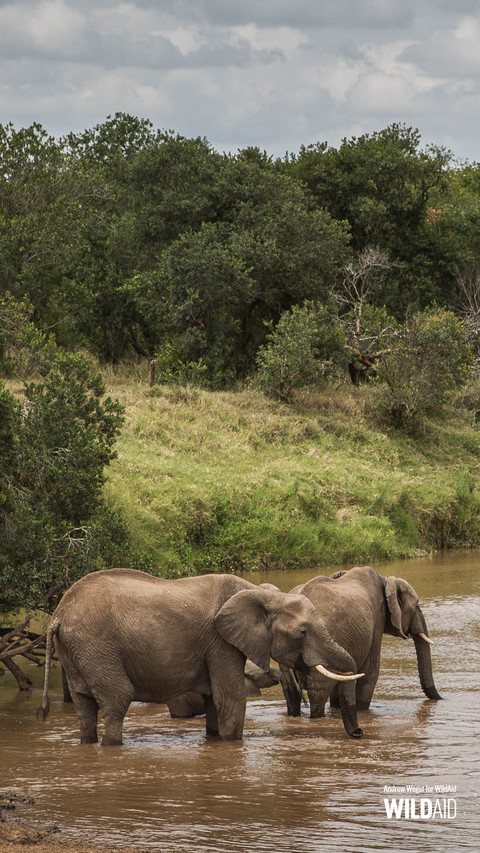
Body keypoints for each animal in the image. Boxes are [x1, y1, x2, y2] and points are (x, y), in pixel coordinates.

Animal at [36, 568, 363, 744]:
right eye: (303, 632)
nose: (359, 734)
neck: (260, 594)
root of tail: (58, 614)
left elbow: (213, 701)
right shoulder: (220, 642)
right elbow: (230, 697)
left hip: (77, 650)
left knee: (84, 705)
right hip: (97, 646)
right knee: (117, 698)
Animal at [280, 565, 442, 720]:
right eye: (417, 605)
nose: (440, 699)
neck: (384, 579)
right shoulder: (377, 619)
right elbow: (372, 670)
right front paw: (362, 710)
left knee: (292, 693)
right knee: (318, 694)